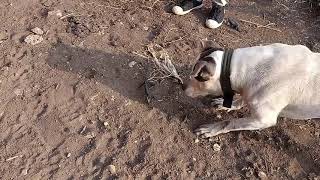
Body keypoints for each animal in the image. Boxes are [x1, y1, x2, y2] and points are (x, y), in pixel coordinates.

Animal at [182, 43, 320, 138]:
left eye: (197, 76)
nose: (182, 86)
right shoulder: (248, 90)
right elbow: (242, 100)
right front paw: (227, 104)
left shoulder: (263, 120)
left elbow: (230, 122)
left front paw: (211, 129)